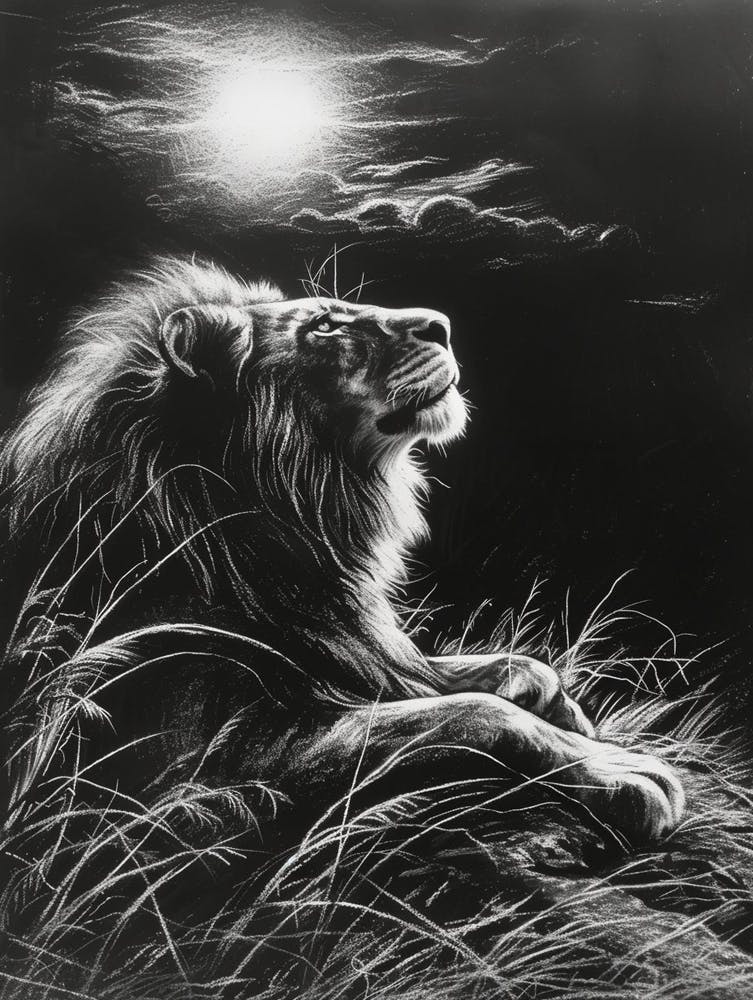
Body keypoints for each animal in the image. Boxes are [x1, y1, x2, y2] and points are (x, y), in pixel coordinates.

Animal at [0, 256, 684, 844]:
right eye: (324, 327)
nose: (443, 324)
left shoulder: (357, 654)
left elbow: (512, 670)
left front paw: (581, 722)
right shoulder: (200, 776)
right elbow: (475, 713)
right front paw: (626, 775)